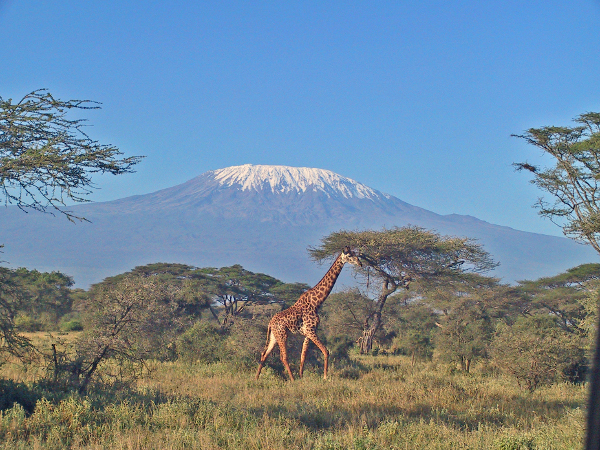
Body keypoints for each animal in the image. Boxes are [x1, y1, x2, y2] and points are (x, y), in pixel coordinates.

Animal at [254, 246, 360, 380]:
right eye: (350, 255)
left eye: (355, 253)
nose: (360, 263)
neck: (316, 302)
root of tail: (270, 323)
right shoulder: (311, 330)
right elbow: (326, 351)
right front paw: (325, 377)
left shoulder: (307, 333)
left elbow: (303, 356)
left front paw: (301, 376)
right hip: (283, 335)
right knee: (283, 357)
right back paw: (292, 380)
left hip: (274, 336)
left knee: (264, 355)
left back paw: (256, 378)